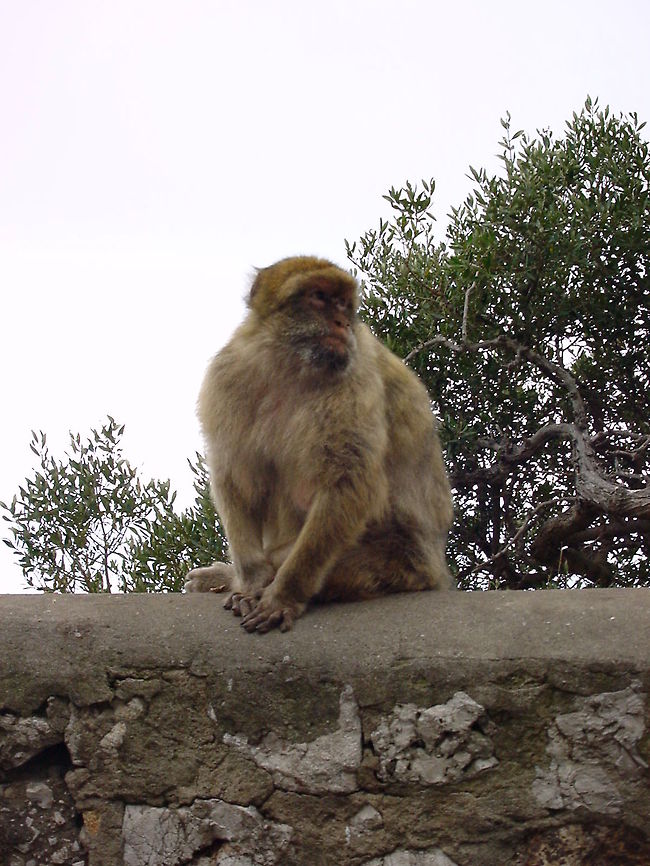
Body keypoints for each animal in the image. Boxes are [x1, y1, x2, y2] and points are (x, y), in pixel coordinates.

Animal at [185, 256, 454, 632]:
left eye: (342, 303)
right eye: (319, 297)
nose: (341, 322)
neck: (291, 367)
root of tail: (435, 568)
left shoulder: (355, 380)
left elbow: (349, 483)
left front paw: (283, 594)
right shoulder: (229, 374)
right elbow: (236, 476)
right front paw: (251, 581)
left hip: (400, 565)